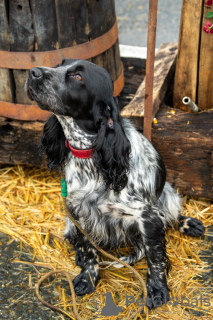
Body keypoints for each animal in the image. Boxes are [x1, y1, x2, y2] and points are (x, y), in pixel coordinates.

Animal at [25, 58, 206, 308]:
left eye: (78, 77)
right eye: (59, 64)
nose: (32, 72)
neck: (90, 156)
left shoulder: (147, 217)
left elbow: (155, 257)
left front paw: (157, 289)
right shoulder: (79, 212)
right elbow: (89, 249)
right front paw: (88, 277)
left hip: (167, 194)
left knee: (171, 216)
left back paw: (189, 224)